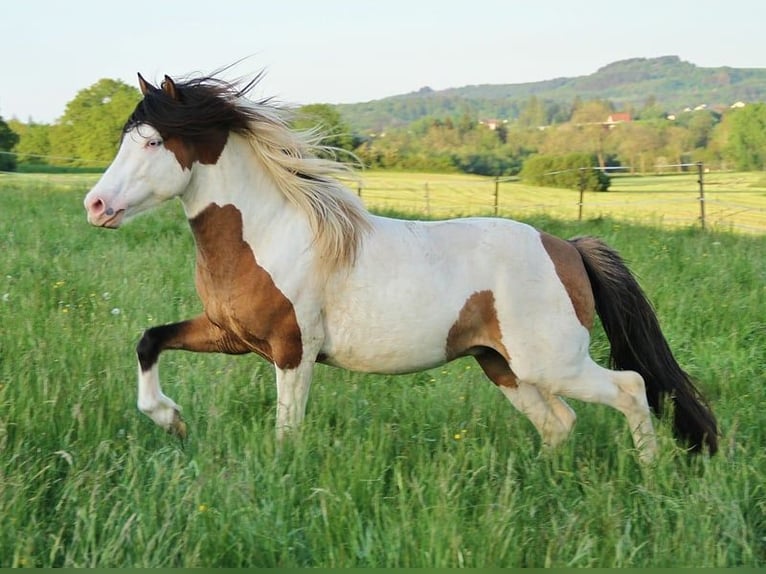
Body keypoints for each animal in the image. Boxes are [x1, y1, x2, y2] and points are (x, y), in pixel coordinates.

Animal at [83, 72, 718, 461]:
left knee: (632, 388)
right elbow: (149, 340)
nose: (95, 205)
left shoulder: (292, 350)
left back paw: (649, 474)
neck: (269, 233)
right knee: (560, 423)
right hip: (504, 367)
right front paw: (171, 420)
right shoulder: (230, 334)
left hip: (554, 362)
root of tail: (565, 246)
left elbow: (288, 429)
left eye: (152, 142)